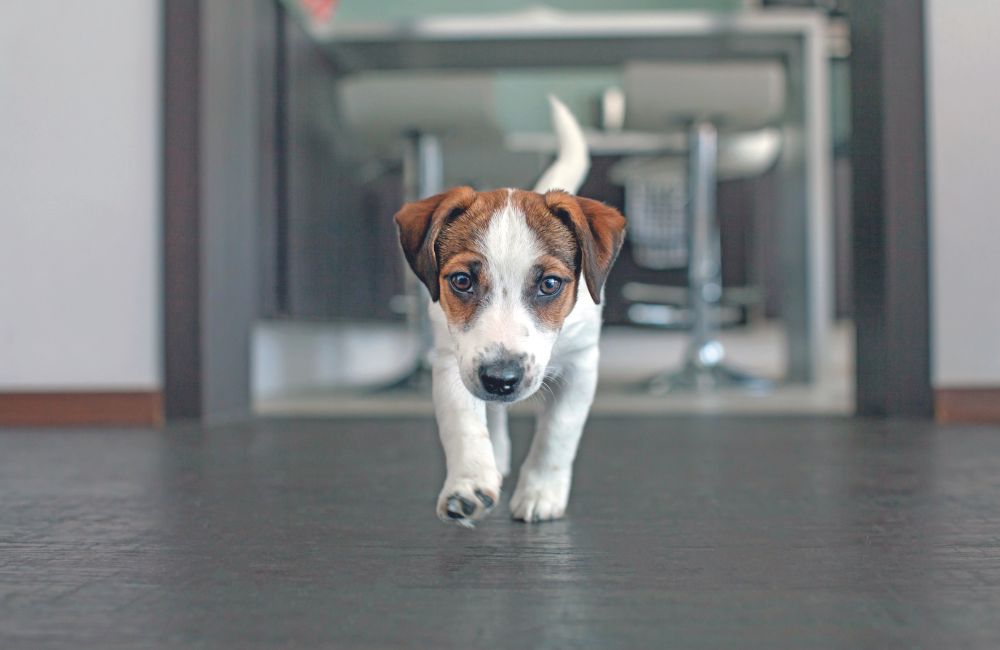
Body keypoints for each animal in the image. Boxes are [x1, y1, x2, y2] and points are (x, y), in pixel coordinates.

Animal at [392, 96, 620, 524]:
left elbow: (558, 433)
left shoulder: (582, 365)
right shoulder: (452, 360)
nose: (500, 380)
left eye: (550, 284)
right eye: (461, 280)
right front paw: (468, 483)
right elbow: (465, 424)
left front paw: (541, 492)